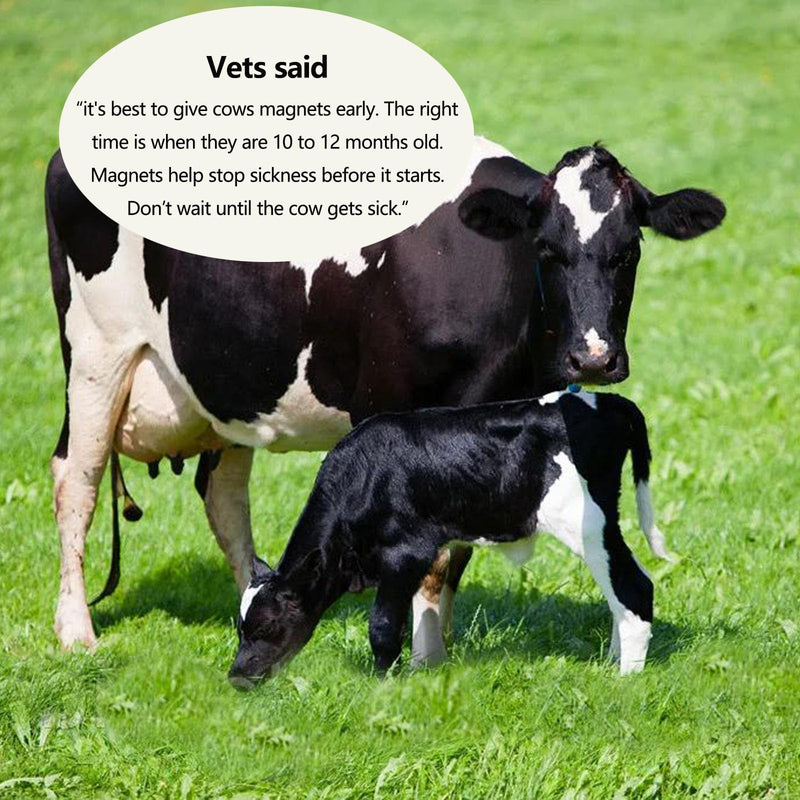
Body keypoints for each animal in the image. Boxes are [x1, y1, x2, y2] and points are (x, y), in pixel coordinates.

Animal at [45, 136, 724, 655]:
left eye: (629, 251)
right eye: (545, 249)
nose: (594, 358)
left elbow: (451, 554)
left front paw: (433, 654)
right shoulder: (387, 408)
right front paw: (420, 658)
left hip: (228, 383)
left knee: (223, 493)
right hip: (94, 353)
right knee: (76, 478)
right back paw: (77, 633)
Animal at [229, 388, 672, 687]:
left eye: (266, 627)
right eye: (240, 629)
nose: (236, 677)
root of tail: (606, 400)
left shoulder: (403, 553)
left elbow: (384, 625)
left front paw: (383, 686)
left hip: (587, 522)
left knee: (634, 586)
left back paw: (626, 678)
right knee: (621, 589)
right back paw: (612, 661)